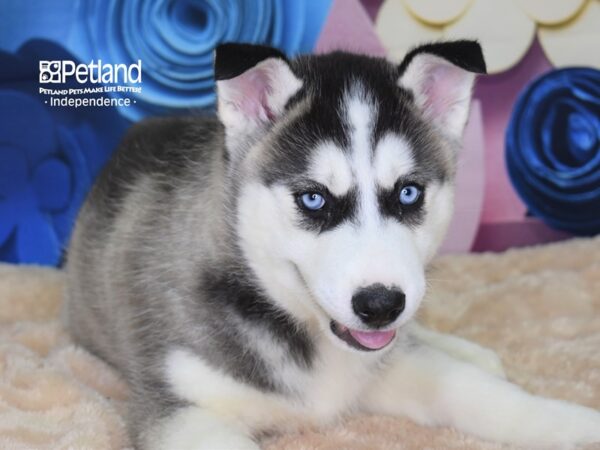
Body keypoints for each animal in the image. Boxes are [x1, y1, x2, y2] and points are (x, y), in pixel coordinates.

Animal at [64, 40, 600, 448]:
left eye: (409, 193)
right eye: (314, 198)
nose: (381, 305)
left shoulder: (387, 367)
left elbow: (479, 392)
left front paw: (574, 423)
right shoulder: (179, 404)